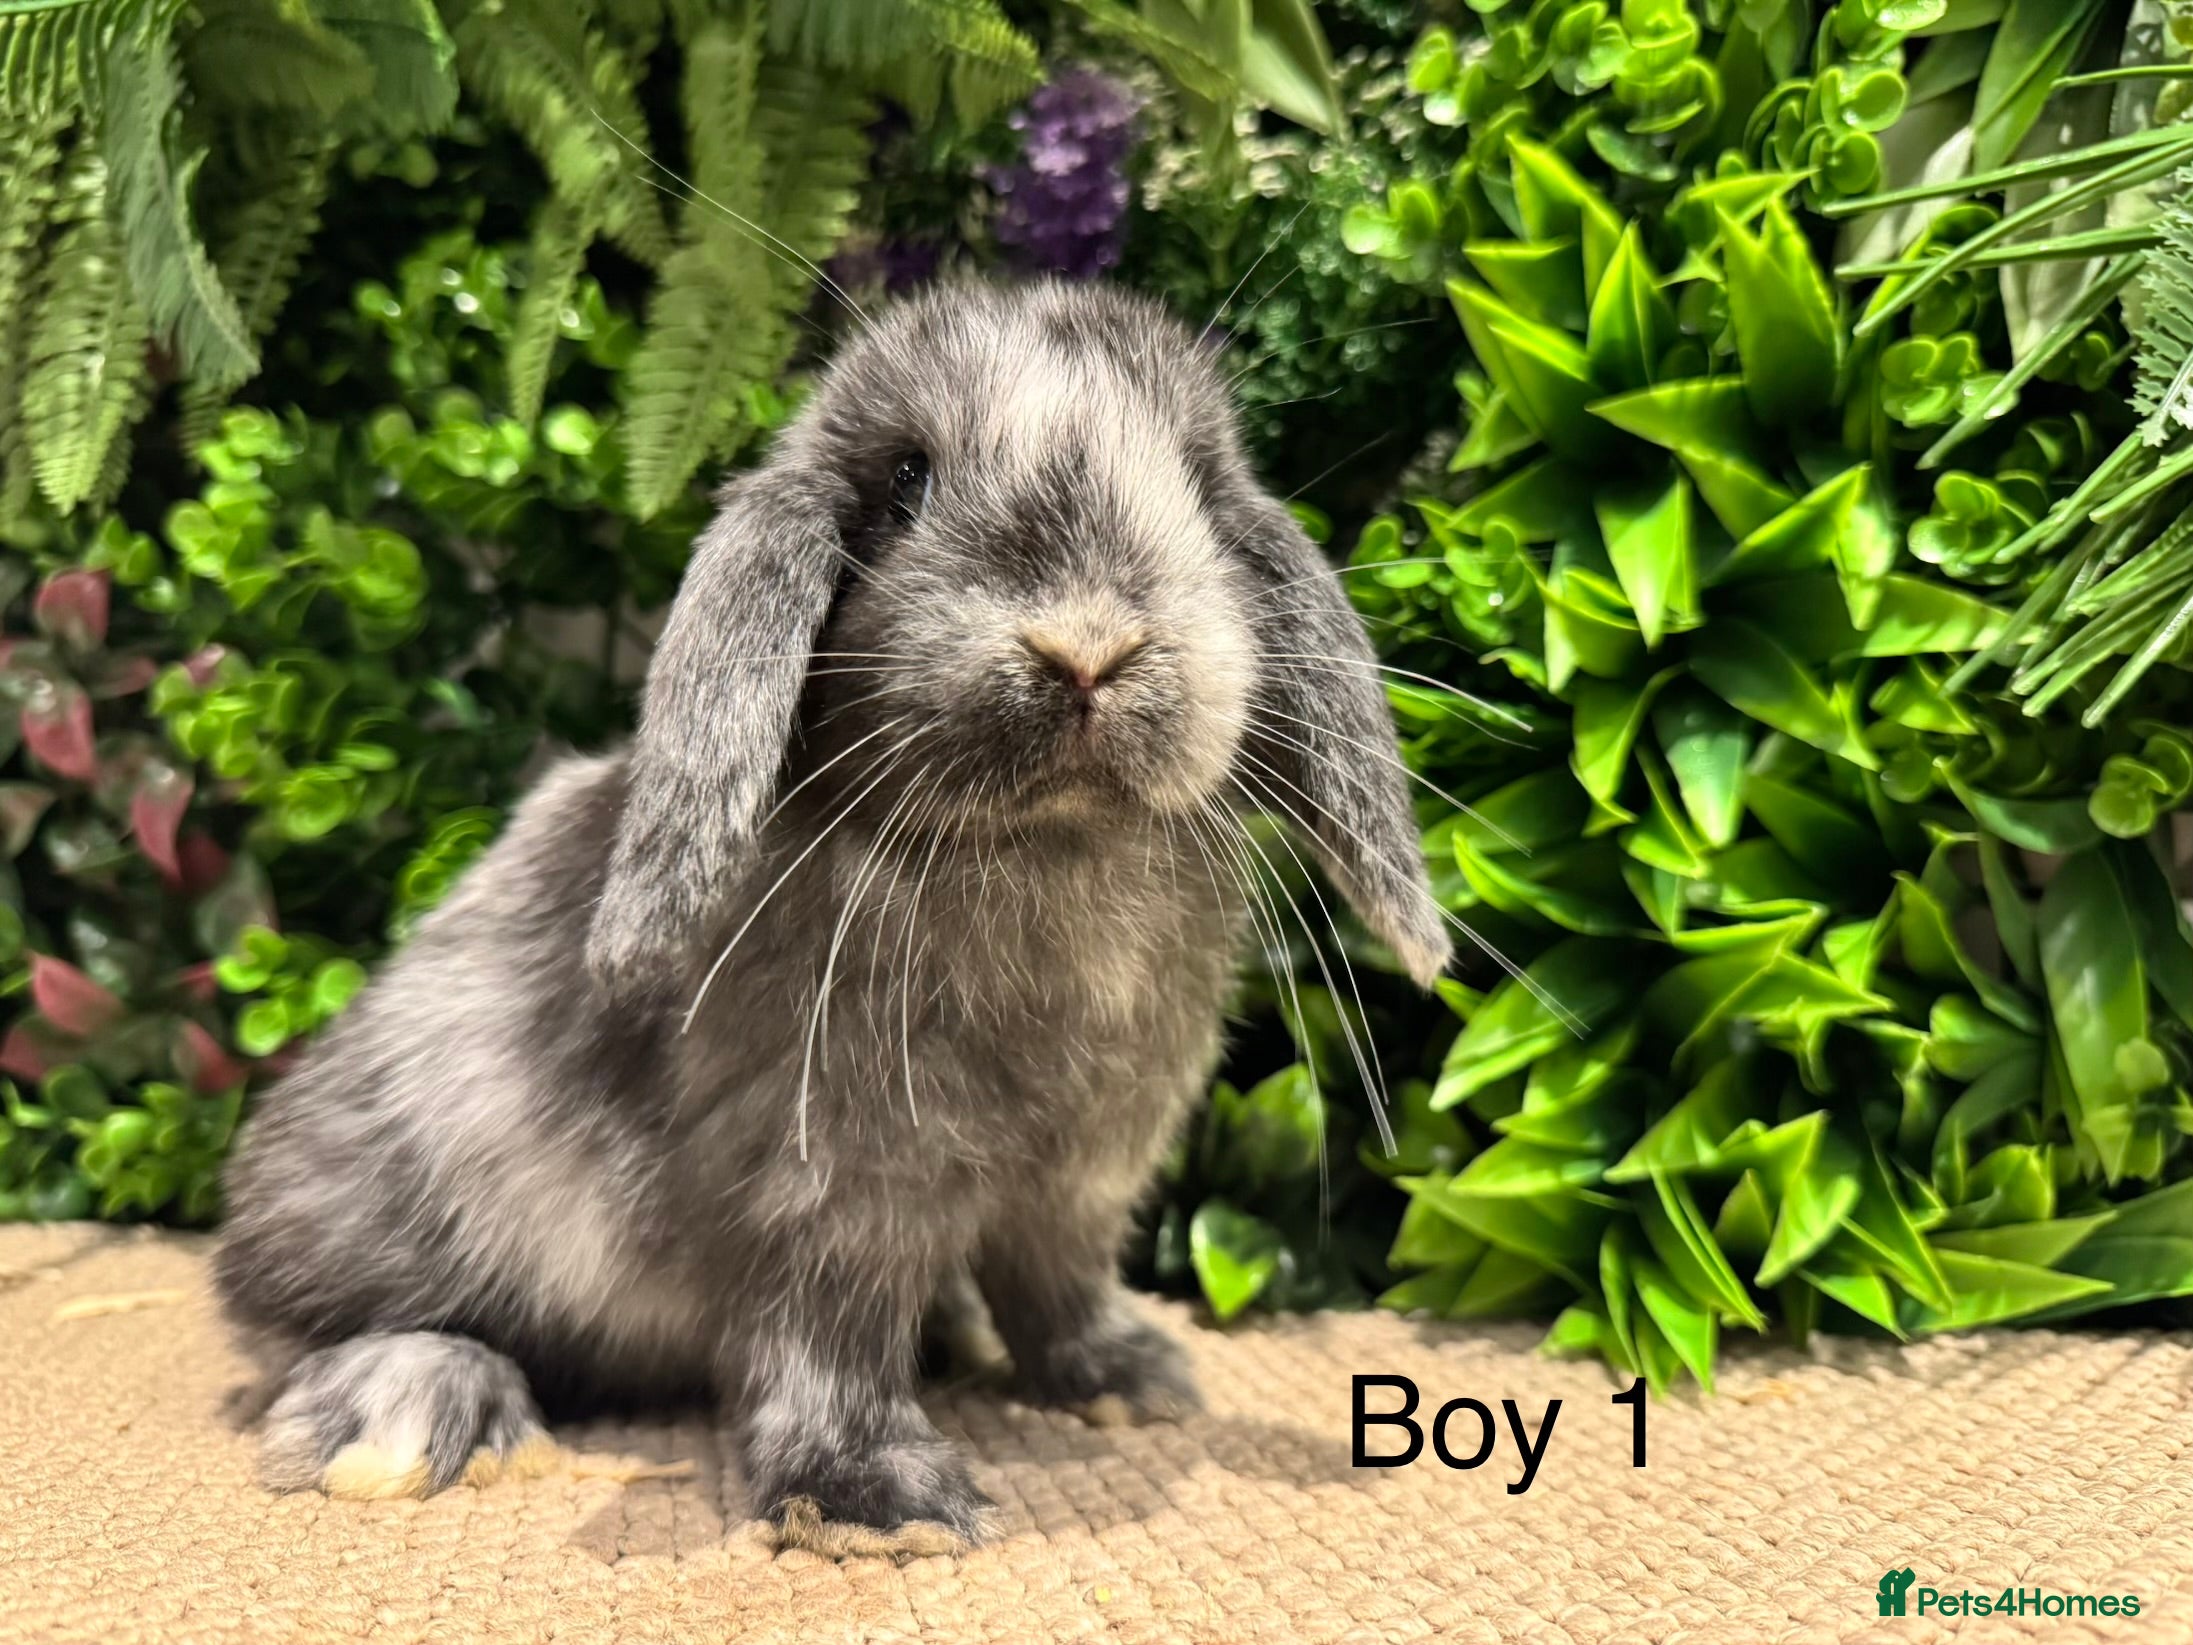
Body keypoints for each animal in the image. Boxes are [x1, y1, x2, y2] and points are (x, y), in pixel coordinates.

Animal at [212, 278, 1451, 1555]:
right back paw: (416, 1413)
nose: (1088, 648)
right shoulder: (828, 1187)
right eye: (905, 482)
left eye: (1202, 485)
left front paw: (1127, 1380)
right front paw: (880, 1503)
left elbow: (1058, 1283)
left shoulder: (1079, 1182)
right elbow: (826, 1340)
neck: (1039, 846)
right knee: (306, 1327)